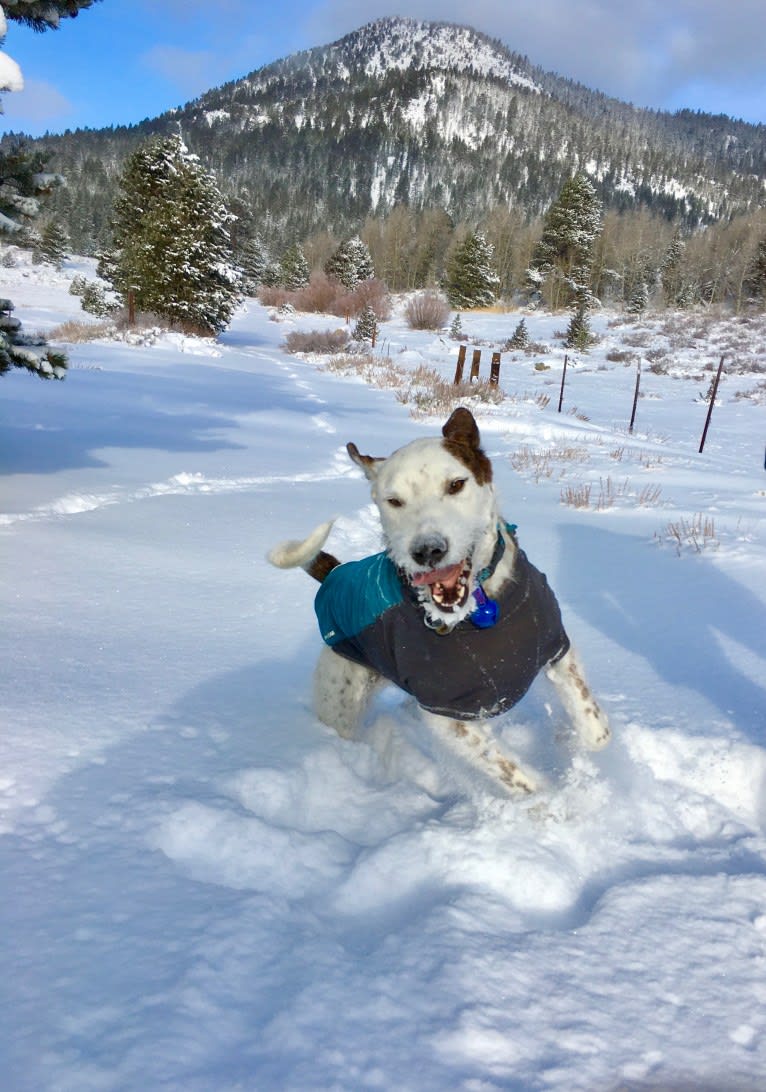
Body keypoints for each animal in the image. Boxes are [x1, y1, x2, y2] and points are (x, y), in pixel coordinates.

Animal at [268, 404, 607, 794]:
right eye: (393, 501)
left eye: (456, 484)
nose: (427, 550)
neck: (481, 611)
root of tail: (336, 574)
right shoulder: (447, 716)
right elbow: (519, 777)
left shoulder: (555, 648)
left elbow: (596, 731)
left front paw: (576, 750)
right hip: (340, 701)